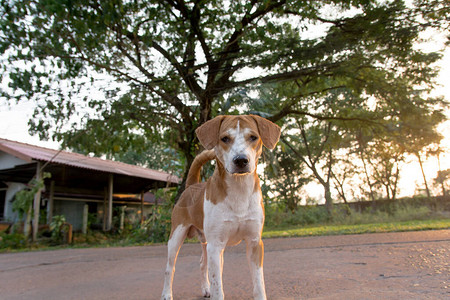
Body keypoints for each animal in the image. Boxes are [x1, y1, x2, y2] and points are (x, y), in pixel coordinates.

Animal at [162, 114, 280, 300]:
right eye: (225, 138)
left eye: (253, 137)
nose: (241, 160)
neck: (239, 190)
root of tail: (191, 185)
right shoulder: (216, 245)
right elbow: (218, 287)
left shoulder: (255, 243)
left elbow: (259, 284)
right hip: (177, 236)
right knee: (169, 268)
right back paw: (167, 294)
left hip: (206, 243)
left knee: (202, 264)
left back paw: (206, 289)